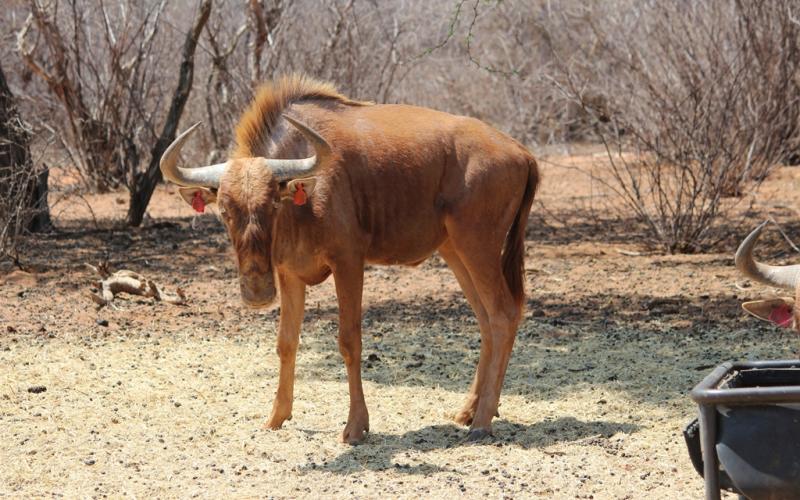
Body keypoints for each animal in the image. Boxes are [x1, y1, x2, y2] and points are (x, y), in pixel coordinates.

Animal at [160, 74, 539, 443]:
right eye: (224, 211)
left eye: (272, 205)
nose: (257, 293)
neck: (305, 195)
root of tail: (521, 151)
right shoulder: (289, 274)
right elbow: (286, 342)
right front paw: (276, 417)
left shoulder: (348, 262)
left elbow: (349, 340)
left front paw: (356, 427)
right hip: (456, 252)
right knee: (486, 321)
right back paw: (469, 411)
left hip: (478, 248)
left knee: (503, 314)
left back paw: (483, 421)